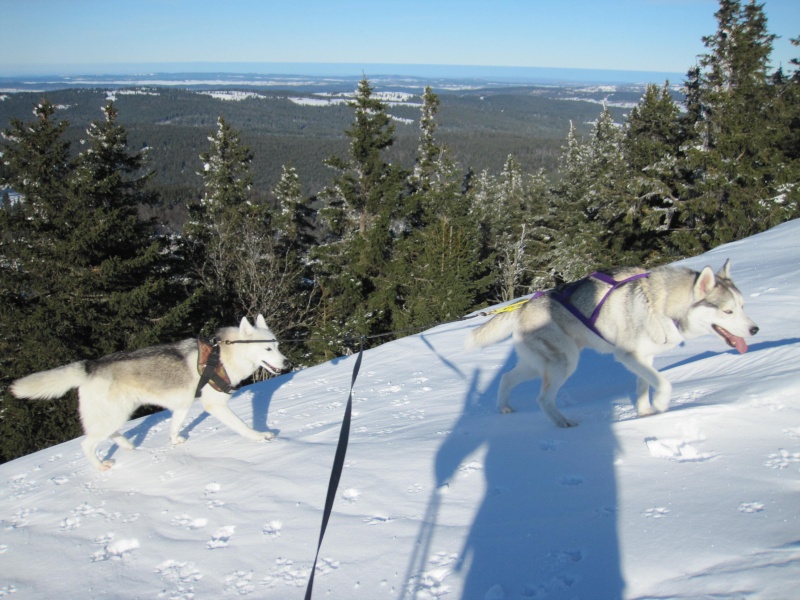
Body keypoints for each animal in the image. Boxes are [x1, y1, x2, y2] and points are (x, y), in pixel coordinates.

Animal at [10, 314, 290, 468]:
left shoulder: (182, 404)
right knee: (86, 444)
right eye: (267, 349)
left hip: (119, 414)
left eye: (277, 346)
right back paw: (101, 466)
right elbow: (243, 426)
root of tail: (90, 366)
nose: (287, 362)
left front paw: (175, 440)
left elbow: (174, 427)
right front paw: (259, 436)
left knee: (109, 434)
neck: (223, 355)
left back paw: (127, 445)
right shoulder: (215, 405)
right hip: (114, 415)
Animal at [466, 262, 760, 426]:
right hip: (565, 363)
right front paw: (662, 403)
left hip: (537, 365)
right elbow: (663, 382)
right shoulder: (628, 356)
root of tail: (525, 306)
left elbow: (644, 386)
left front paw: (646, 414)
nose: (755, 329)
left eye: (742, 306)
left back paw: (504, 407)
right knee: (543, 398)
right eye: (727, 311)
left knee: (506, 377)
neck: (660, 305)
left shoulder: (645, 358)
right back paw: (562, 423)